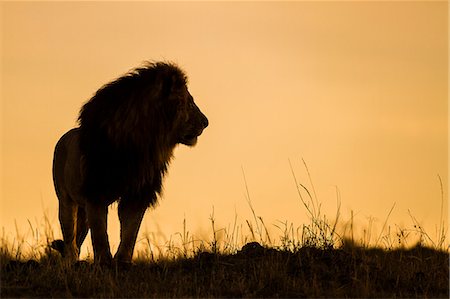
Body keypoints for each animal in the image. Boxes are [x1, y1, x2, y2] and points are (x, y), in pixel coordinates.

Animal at [52, 62, 209, 264]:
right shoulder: (96, 191)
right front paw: (104, 261)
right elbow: (100, 232)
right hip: (65, 199)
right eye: (189, 102)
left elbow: (130, 230)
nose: (206, 122)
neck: (143, 141)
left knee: (79, 233)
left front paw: (123, 260)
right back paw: (70, 262)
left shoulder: (138, 193)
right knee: (69, 233)